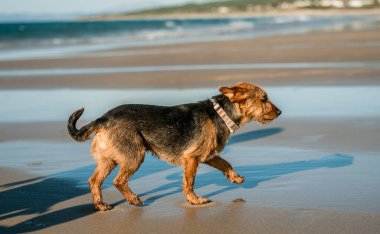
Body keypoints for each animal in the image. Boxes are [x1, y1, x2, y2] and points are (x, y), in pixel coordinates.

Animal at [67, 82, 280, 210]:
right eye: (263, 99)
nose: (279, 112)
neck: (220, 114)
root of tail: (103, 118)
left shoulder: (209, 156)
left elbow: (226, 163)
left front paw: (235, 177)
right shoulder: (192, 159)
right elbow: (189, 183)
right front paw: (195, 200)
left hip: (109, 159)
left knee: (94, 181)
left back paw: (101, 205)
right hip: (134, 156)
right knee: (118, 181)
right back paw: (133, 200)